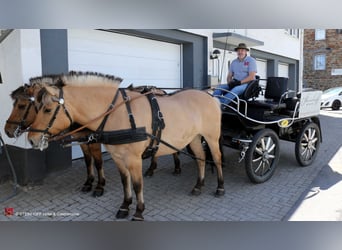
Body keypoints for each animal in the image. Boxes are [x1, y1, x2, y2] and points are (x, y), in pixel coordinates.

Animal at [27, 71, 224, 220]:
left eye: (47, 109)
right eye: (36, 107)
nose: (31, 139)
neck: (118, 112)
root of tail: (210, 96)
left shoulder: (134, 159)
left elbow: (137, 184)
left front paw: (138, 211)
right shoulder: (117, 157)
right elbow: (125, 181)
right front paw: (125, 206)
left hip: (211, 138)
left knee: (216, 159)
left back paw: (220, 187)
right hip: (194, 138)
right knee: (201, 158)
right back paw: (198, 186)